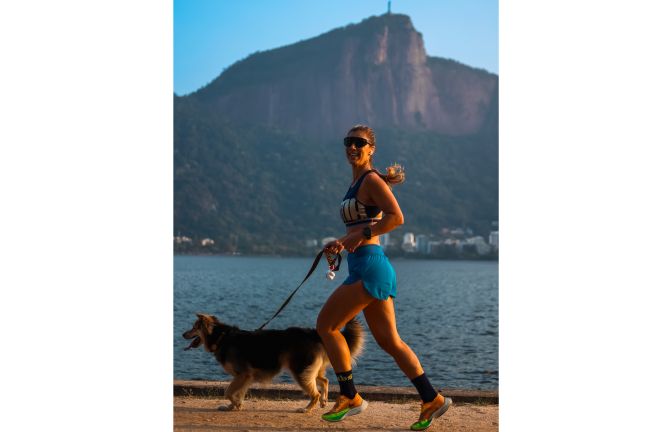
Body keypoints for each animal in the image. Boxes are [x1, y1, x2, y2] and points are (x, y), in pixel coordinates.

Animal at [184, 314, 364, 412]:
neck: (221, 337)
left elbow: (228, 392)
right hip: (309, 369)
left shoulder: (243, 375)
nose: (182, 334)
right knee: (324, 380)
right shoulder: (245, 378)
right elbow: (238, 393)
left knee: (315, 393)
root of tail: (312, 333)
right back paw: (324, 401)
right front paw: (234, 407)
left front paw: (235, 405)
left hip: (300, 371)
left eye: (193, 327)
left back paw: (306, 409)